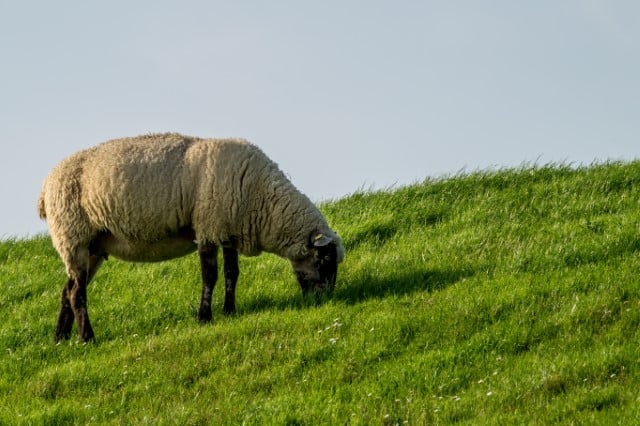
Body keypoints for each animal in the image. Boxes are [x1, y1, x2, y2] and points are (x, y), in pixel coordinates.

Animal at [37, 133, 342, 342]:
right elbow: (211, 275)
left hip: (91, 247)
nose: (326, 299)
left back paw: (60, 339)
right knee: (77, 293)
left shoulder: (226, 231)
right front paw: (204, 317)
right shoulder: (208, 227)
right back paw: (87, 338)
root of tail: (45, 188)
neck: (261, 200)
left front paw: (230, 311)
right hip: (72, 237)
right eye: (324, 260)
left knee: (67, 290)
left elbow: (232, 273)